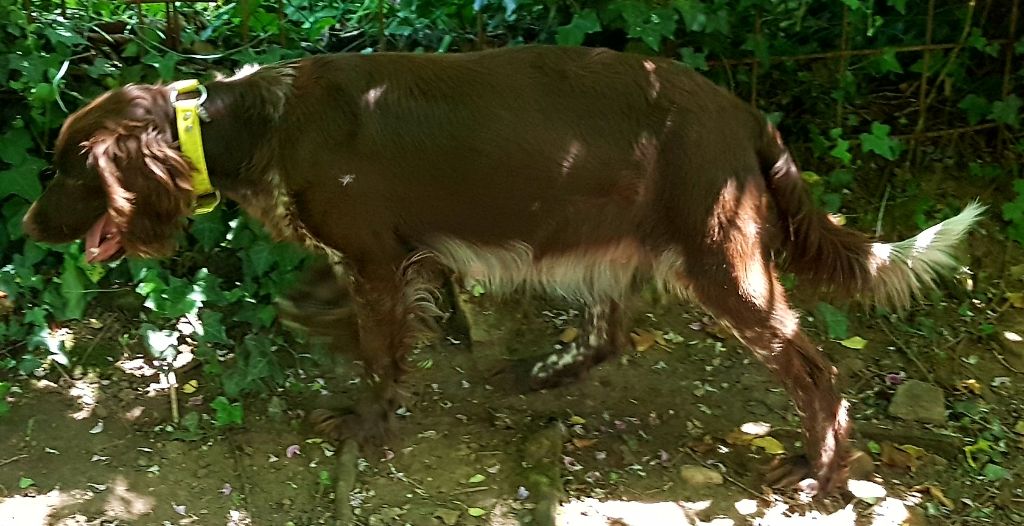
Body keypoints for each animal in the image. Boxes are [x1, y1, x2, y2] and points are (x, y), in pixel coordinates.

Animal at [22, 44, 983, 491]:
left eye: (69, 167)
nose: (28, 223)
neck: (262, 120)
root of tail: (745, 111)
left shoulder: (377, 257)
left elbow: (378, 353)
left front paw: (367, 426)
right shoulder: (387, 255)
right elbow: (358, 314)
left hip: (725, 265)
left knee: (819, 371)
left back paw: (821, 474)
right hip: (621, 247)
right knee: (609, 332)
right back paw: (542, 372)